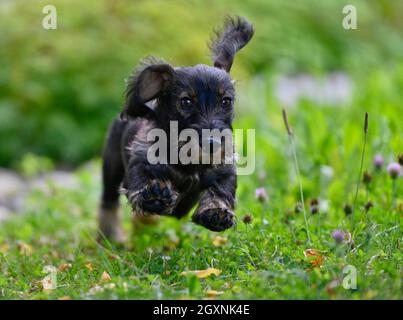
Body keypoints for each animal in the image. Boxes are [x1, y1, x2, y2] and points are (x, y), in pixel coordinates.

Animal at [99, 14, 254, 240]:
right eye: (186, 101)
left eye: (226, 101)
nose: (213, 144)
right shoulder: (139, 162)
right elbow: (141, 181)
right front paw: (154, 196)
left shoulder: (223, 171)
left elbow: (220, 191)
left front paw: (216, 212)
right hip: (111, 165)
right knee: (108, 203)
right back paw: (111, 236)